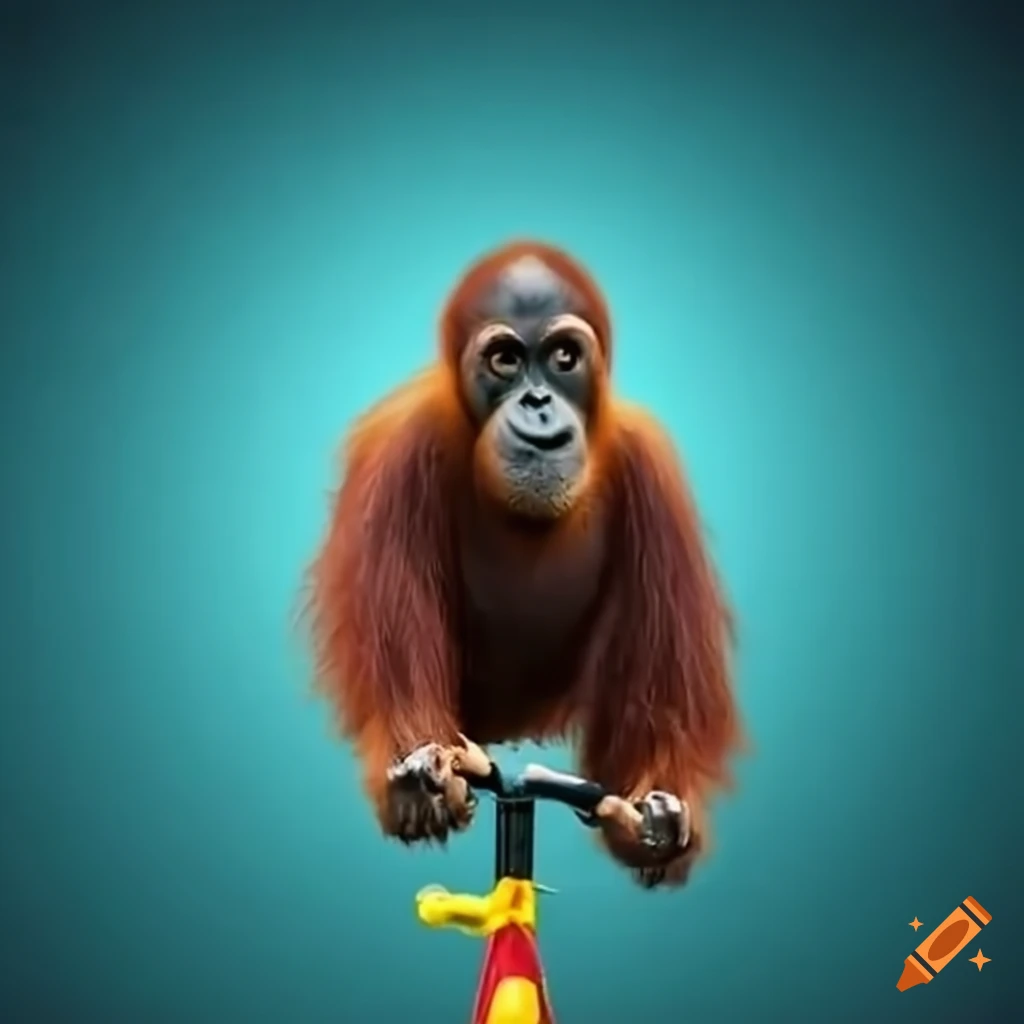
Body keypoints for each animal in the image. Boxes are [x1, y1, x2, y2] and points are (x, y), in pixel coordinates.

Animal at [307, 240, 740, 887]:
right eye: (506, 360)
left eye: (563, 357)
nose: (537, 403)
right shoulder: (399, 456)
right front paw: (419, 779)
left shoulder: (653, 471)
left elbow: (663, 683)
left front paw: (654, 820)